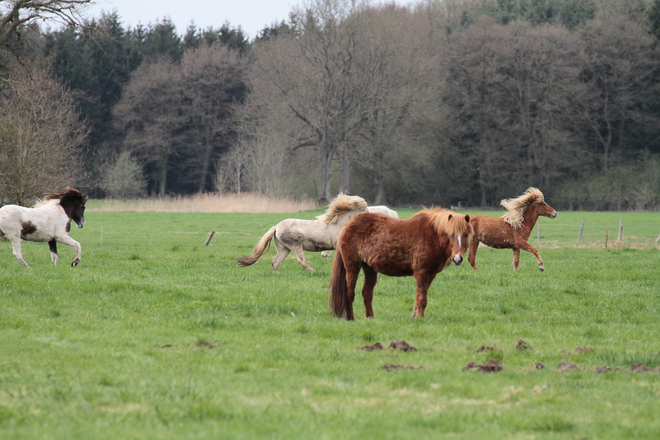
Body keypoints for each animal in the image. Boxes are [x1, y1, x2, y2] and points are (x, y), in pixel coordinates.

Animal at [237, 193, 368, 272]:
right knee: (301, 261)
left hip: (284, 249)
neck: (339, 224)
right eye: (364, 209)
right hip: (295, 245)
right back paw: (313, 272)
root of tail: (276, 227)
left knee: (276, 262)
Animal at [328, 208, 472, 322]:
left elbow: (420, 296)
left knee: (367, 293)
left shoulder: (430, 275)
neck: (432, 235)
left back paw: (370, 318)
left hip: (369, 268)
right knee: (349, 292)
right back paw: (350, 318)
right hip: (352, 266)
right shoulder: (421, 273)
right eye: (451, 235)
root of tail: (347, 226)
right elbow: (421, 298)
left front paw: (415, 315)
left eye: (466, 235)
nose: (457, 259)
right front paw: (420, 318)